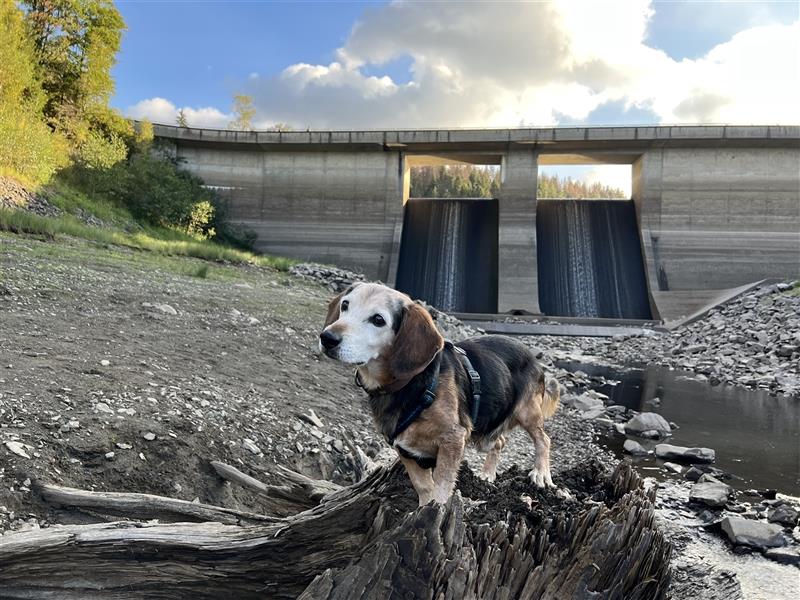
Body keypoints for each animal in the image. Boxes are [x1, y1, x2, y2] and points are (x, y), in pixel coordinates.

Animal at [316, 284, 560, 504]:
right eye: (345, 305)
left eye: (378, 320)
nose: (327, 337)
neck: (408, 384)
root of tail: (532, 356)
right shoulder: (406, 450)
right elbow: (424, 487)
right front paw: (422, 512)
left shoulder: (453, 439)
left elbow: (442, 487)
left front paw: (437, 510)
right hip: (486, 431)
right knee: (499, 441)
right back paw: (487, 474)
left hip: (527, 413)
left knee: (543, 439)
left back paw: (541, 474)